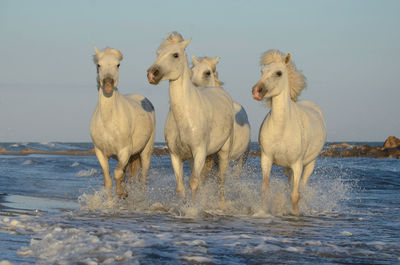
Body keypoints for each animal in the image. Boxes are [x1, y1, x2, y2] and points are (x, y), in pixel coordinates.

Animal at [91, 47, 155, 196]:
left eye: (118, 65)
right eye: (99, 65)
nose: (108, 84)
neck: (108, 121)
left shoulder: (124, 151)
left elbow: (117, 174)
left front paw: (121, 193)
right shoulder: (100, 153)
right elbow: (108, 180)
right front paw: (113, 199)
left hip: (145, 152)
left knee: (143, 177)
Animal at [147, 33, 234, 202]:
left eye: (175, 55)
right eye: (158, 53)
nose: (152, 74)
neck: (185, 116)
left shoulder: (199, 152)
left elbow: (194, 183)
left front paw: (193, 207)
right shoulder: (176, 155)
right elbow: (181, 187)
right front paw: (185, 205)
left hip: (223, 152)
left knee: (221, 180)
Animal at [252, 50, 326, 214]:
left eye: (278, 73)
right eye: (262, 71)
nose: (256, 92)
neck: (282, 128)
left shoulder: (297, 164)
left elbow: (295, 195)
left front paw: (296, 214)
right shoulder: (266, 159)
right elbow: (265, 189)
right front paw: (263, 212)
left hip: (309, 164)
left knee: (301, 187)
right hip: (286, 167)